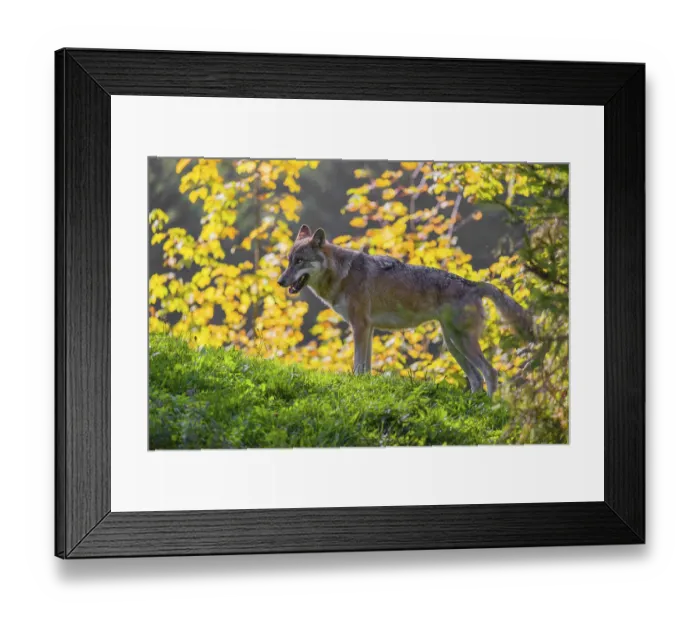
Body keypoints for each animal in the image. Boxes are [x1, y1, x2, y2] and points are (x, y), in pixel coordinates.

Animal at [277, 225, 534, 396]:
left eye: (299, 261)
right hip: (453, 344)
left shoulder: (360, 326)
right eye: (289, 261)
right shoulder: (368, 329)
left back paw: (487, 408)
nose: (280, 281)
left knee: (490, 373)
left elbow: (358, 365)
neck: (341, 274)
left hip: (462, 342)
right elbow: (366, 367)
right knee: (476, 379)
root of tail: (472, 284)